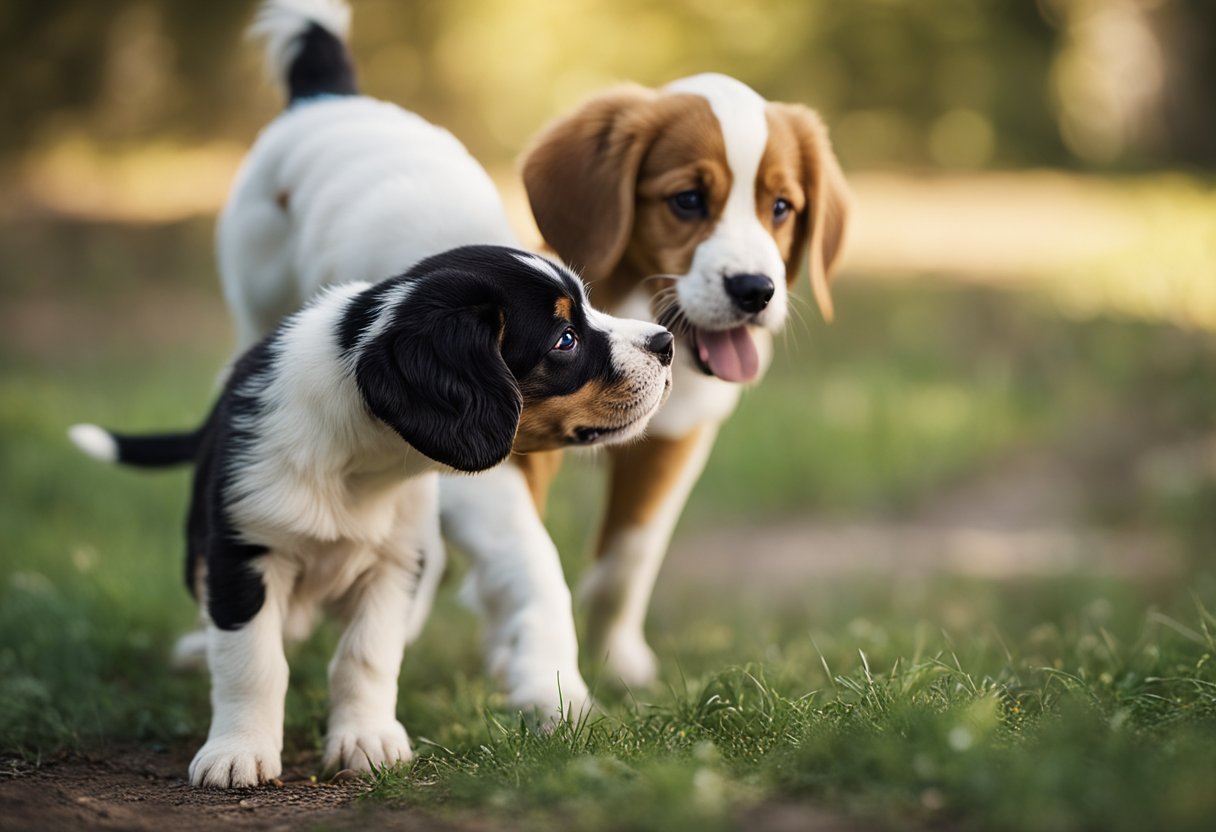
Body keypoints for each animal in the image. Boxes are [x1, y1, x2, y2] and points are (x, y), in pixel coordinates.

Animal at [72, 245, 676, 788]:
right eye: (565, 339)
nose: (667, 343)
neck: (360, 463)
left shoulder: (397, 562)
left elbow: (366, 656)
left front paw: (365, 740)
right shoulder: (243, 551)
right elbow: (252, 660)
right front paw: (238, 751)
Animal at [442, 72, 851, 695]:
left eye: (781, 208)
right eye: (688, 200)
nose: (756, 291)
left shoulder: (674, 438)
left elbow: (629, 557)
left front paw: (618, 660)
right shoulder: (504, 450)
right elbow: (523, 553)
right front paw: (521, 658)